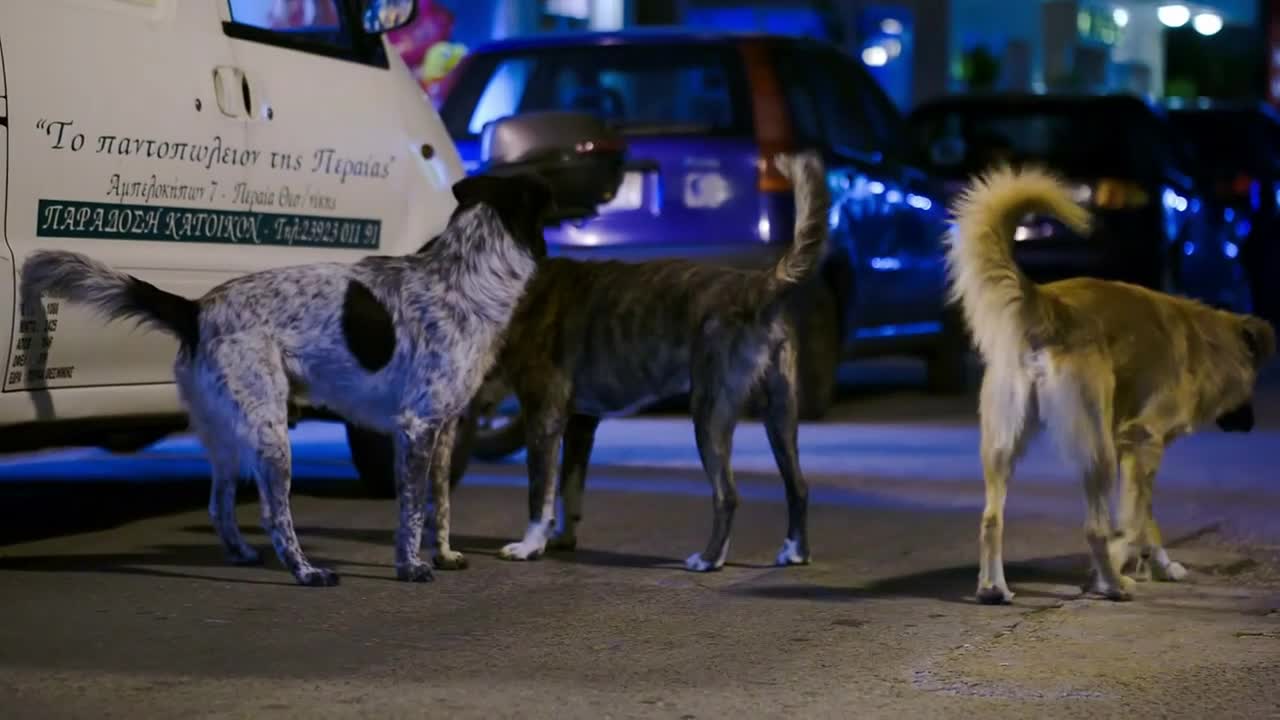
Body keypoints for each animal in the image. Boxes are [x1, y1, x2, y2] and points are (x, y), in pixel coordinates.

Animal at [20, 172, 550, 584]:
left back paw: (242, 554)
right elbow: (412, 510)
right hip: (272, 433)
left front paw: (442, 556)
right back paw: (306, 572)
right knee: (275, 515)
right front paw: (410, 567)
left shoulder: (442, 430)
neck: (463, 276)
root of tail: (195, 310)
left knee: (219, 505)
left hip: (229, 434)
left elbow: (438, 504)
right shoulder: (415, 428)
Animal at [947, 166, 1274, 599]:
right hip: (1096, 447)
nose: (1250, 424)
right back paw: (1113, 584)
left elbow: (1146, 518)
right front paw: (1125, 562)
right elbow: (1135, 520)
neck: (1207, 345)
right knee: (1094, 527)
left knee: (991, 518)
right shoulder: (1142, 438)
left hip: (1005, 445)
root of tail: (1049, 307)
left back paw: (993, 588)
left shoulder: (1133, 447)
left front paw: (1160, 565)